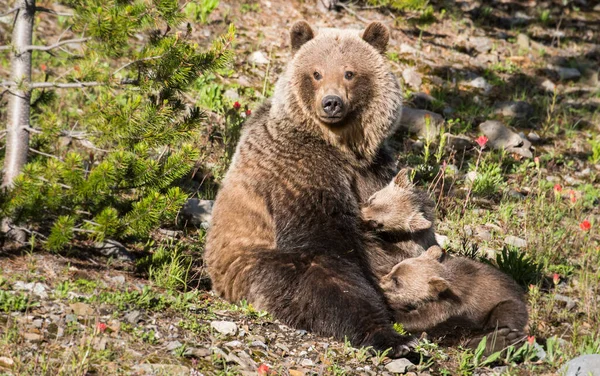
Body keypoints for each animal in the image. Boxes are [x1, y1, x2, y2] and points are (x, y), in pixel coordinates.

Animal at [205, 20, 418, 356]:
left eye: (349, 72)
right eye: (316, 72)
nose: (331, 102)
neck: (342, 147)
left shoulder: (375, 170)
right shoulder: (301, 170)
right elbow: (326, 245)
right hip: (256, 266)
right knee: (319, 285)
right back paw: (392, 337)